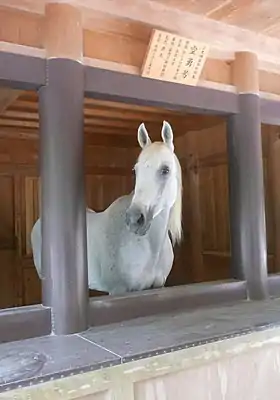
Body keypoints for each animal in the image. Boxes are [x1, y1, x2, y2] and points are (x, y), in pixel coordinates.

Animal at [31, 120, 184, 296]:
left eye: (165, 170)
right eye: (136, 170)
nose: (134, 219)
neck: (149, 247)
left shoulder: (159, 286)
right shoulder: (118, 290)